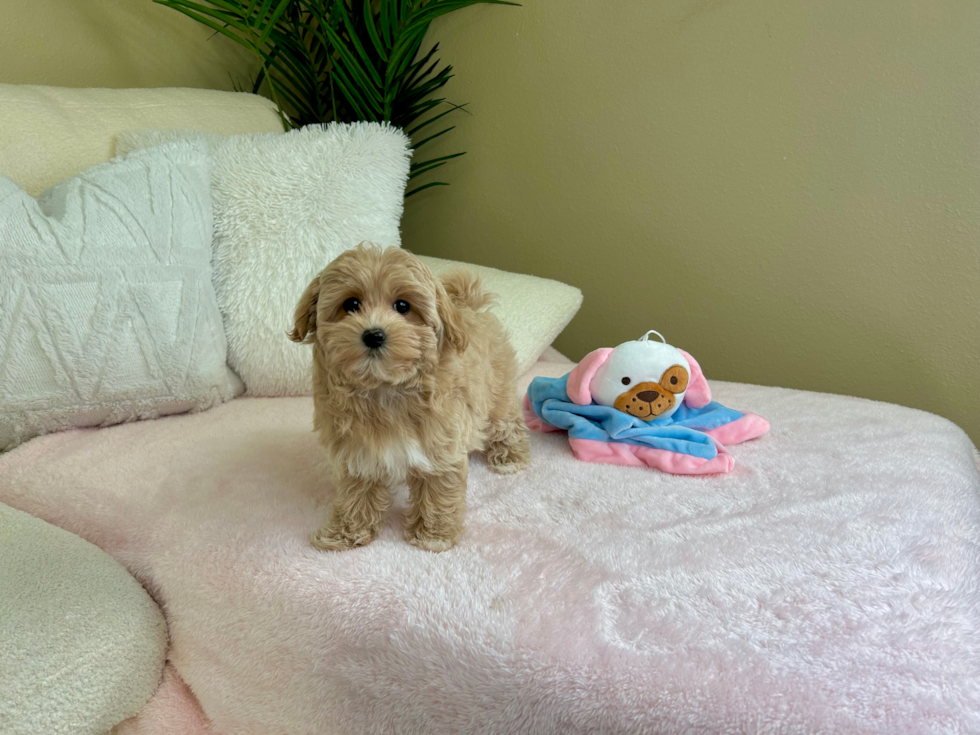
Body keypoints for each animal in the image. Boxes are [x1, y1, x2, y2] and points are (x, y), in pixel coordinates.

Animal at [288, 246, 532, 552]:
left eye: (403, 306)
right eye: (351, 304)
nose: (374, 335)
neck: (384, 388)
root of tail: (470, 307)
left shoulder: (440, 444)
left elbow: (438, 489)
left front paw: (434, 535)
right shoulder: (358, 450)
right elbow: (356, 491)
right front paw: (345, 533)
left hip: (498, 392)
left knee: (506, 424)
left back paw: (510, 457)